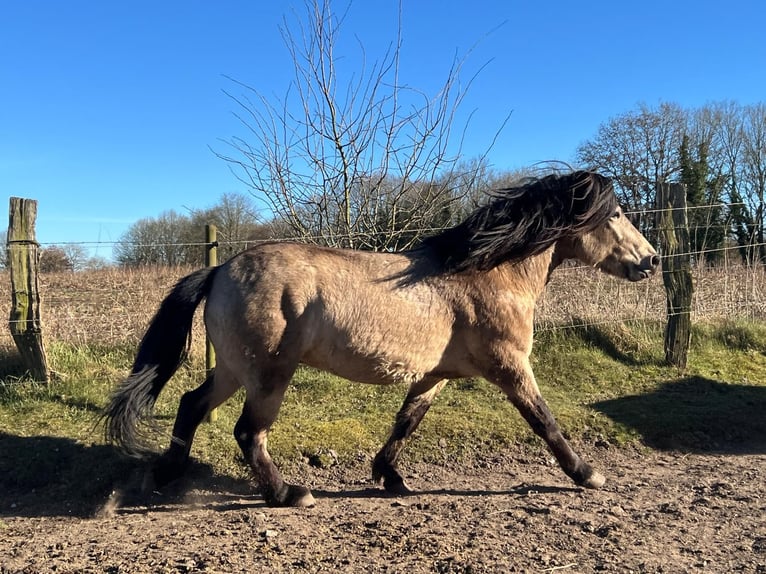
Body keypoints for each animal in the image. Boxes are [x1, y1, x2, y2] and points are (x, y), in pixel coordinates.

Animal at [104, 170, 659, 508]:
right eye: (614, 214)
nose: (651, 261)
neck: (486, 273)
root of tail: (220, 269)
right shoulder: (509, 366)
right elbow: (544, 421)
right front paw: (587, 474)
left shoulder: (437, 374)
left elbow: (406, 421)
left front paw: (390, 477)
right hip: (267, 374)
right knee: (247, 432)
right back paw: (288, 493)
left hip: (233, 369)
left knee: (191, 404)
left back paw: (166, 475)